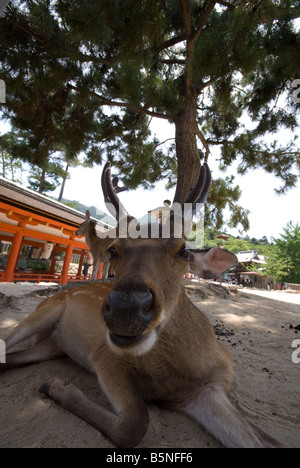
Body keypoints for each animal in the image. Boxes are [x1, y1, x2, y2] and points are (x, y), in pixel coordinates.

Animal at [0, 163, 282, 448]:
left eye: (184, 251)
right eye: (113, 249)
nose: (127, 308)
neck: (180, 372)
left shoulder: (208, 389)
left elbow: (256, 442)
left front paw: (54, 386)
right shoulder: (105, 356)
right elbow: (135, 424)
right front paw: (57, 386)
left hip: (52, 345)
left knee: (9, 360)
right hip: (46, 310)